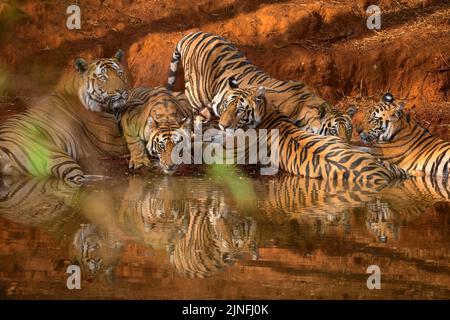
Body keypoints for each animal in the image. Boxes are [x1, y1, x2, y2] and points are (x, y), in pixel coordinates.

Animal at [0, 51, 130, 184]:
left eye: (120, 74)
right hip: (57, 156)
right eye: (103, 78)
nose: (121, 91)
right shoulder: (113, 142)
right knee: (75, 178)